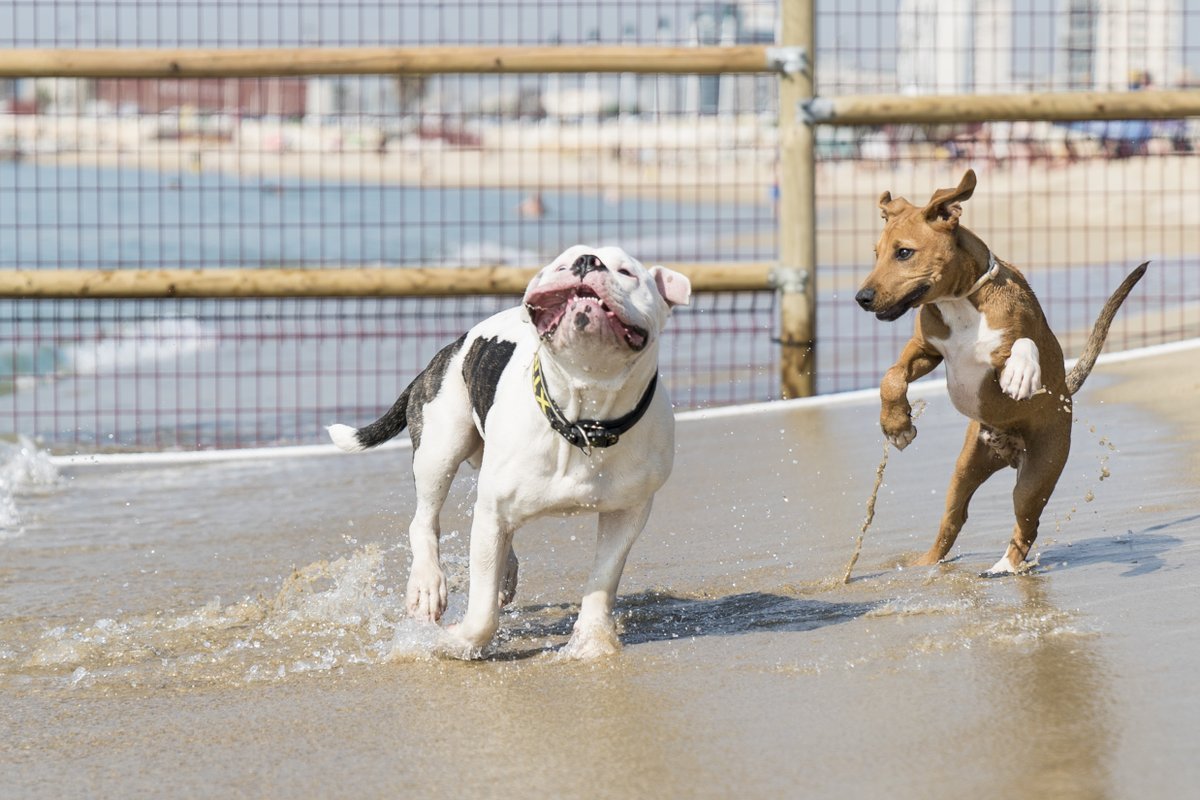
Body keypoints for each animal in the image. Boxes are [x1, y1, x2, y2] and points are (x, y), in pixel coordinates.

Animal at [328, 244, 691, 657]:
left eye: (626, 272)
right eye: (561, 264)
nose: (587, 262)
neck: (583, 417)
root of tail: (452, 345)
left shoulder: (628, 512)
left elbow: (603, 579)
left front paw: (591, 642)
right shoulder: (491, 513)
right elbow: (482, 612)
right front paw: (452, 642)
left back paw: (504, 574)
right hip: (440, 447)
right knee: (424, 520)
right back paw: (427, 584)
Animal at [854, 169, 1142, 573]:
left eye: (904, 253)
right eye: (877, 254)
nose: (861, 298)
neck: (959, 301)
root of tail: (1010, 452)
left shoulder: (1020, 336)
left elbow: (1024, 345)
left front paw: (1019, 375)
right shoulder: (925, 350)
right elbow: (891, 376)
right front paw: (896, 425)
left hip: (1038, 475)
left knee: (1026, 525)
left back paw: (1004, 568)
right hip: (964, 470)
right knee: (952, 519)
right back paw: (927, 564)